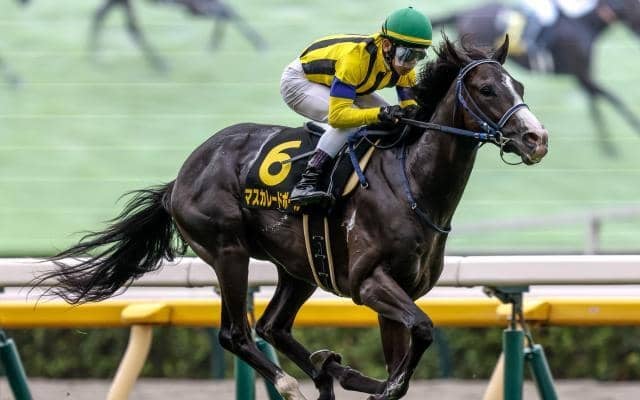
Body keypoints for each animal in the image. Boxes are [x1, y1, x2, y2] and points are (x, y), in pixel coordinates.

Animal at [37, 36, 548, 399]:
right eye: (486, 88)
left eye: (520, 87)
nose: (536, 138)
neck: (412, 183)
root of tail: (180, 179)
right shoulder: (368, 282)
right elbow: (422, 330)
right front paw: (383, 386)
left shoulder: (400, 289)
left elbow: (407, 345)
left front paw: (372, 381)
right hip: (228, 251)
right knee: (237, 333)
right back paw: (295, 383)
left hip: (298, 266)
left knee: (273, 327)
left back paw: (330, 370)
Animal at [432, 0, 640, 154]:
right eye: (635, 7)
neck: (583, 22)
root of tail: (464, 13)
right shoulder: (582, 75)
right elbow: (612, 99)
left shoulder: (582, 77)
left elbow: (597, 103)